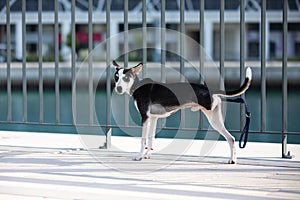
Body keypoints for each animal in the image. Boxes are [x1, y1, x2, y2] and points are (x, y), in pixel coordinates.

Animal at [113, 61, 252, 164]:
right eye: (116, 78)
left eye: (126, 78)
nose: (118, 88)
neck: (138, 86)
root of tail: (210, 89)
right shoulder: (152, 118)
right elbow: (151, 138)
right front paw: (147, 155)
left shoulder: (144, 117)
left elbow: (143, 140)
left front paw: (140, 155)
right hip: (215, 120)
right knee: (231, 138)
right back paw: (232, 160)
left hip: (212, 117)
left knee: (230, 138)